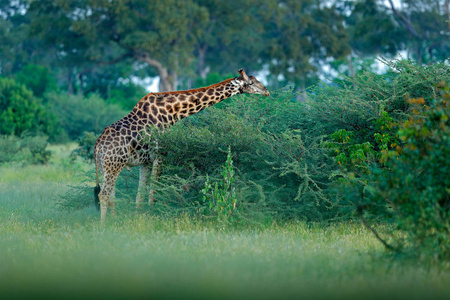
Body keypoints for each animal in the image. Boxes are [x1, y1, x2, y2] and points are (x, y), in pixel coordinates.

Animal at [93, 68, 268, 223]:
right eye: (251, 82)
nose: (266, 91)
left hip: (106, 166)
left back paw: (114, 221)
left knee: (111, 195)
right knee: (103, 194)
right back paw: (103, 226)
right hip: (114, 164)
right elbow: (153, 191)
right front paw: (151, 216)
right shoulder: (160, 155)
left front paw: (139, 217)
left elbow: (140, 194)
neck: (172, 112)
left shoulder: (146, 161)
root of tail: (97, 147)